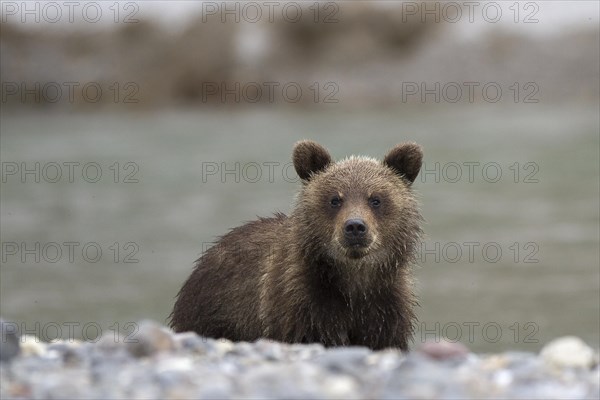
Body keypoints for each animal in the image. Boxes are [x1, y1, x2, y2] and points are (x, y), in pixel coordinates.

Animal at [169, 141, 422, 350]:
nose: (355, 226)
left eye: (375, 199)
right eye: (335, 199)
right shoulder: (301, 301)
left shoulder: (386, 308)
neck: (354, 281)